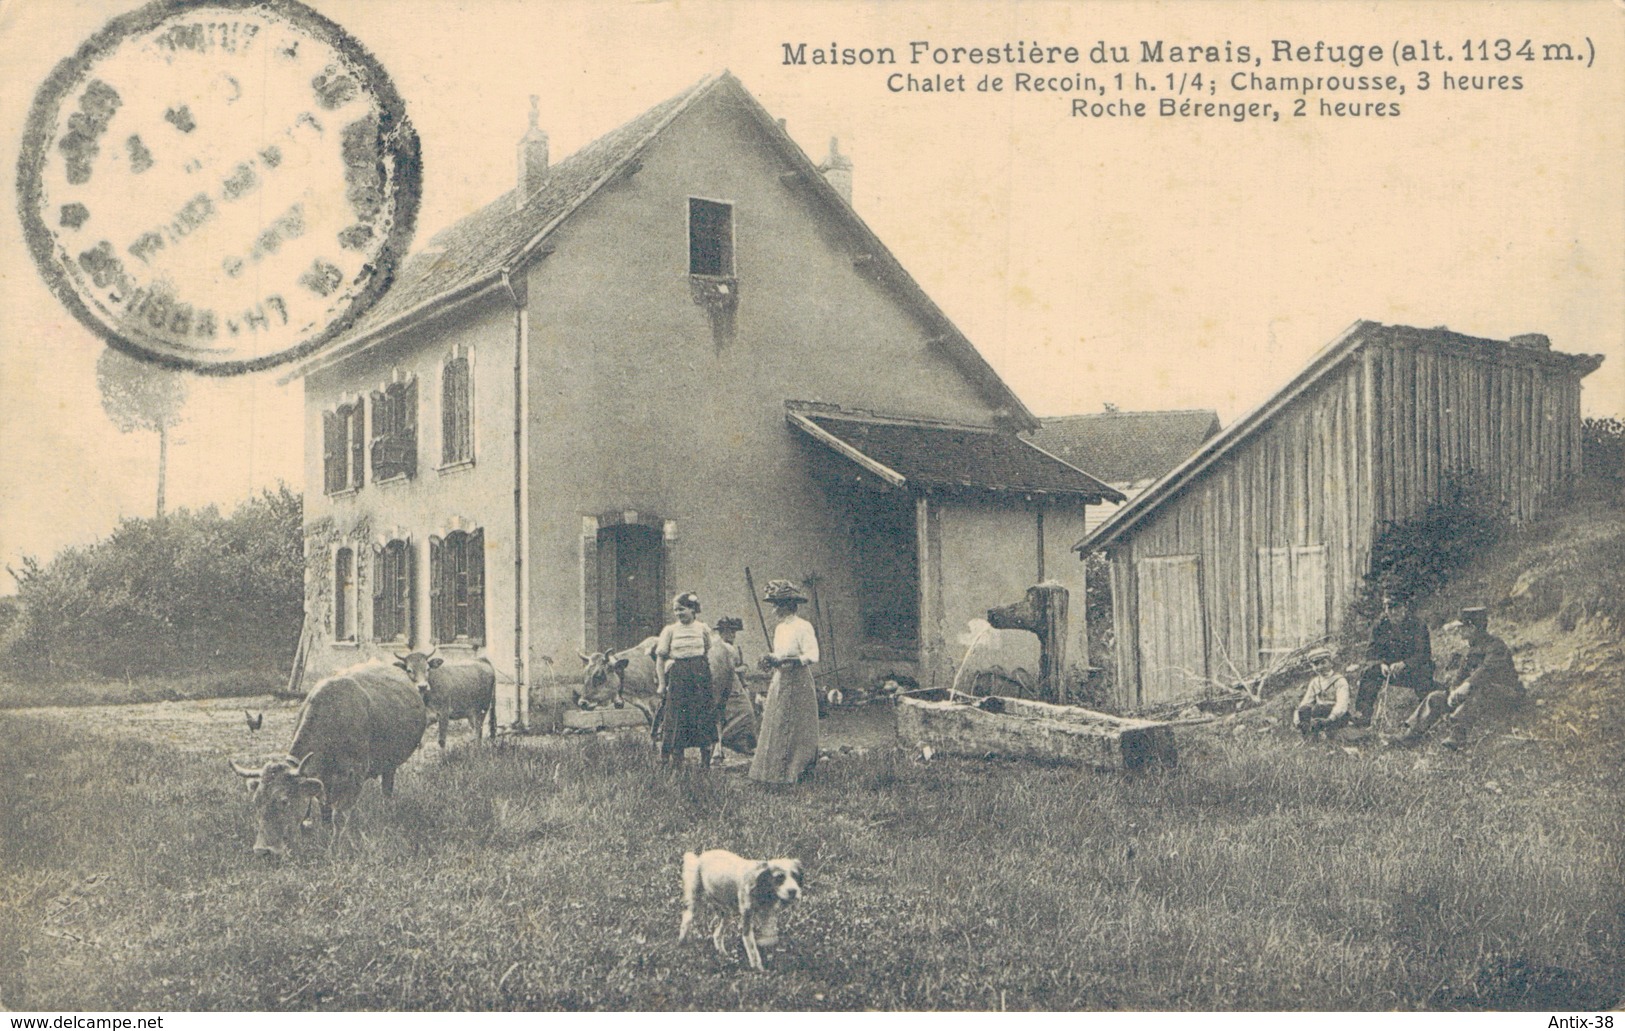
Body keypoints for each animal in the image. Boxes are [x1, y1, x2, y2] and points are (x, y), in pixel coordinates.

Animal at [234, 653, 432, 852]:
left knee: (387, 789)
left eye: (284, 801)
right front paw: (327, 834)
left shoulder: (355, 778)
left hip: (390, 764)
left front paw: (339, 842)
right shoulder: (323, 781)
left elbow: (340, 815)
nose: (263, 850)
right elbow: (326, 811)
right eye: (256, 802)